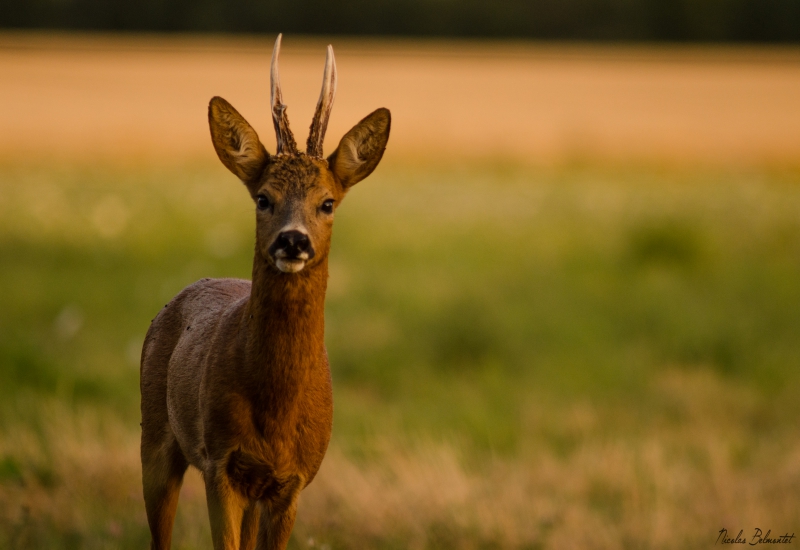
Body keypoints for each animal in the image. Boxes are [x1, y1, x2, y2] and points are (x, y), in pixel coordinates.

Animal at [140, 35, 390, 550]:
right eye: (263, 198)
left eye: (327, 202)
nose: (293, 241)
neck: (275, 410)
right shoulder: (219, 463)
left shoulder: (293, 480)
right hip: (154, 433)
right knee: (159, 534)